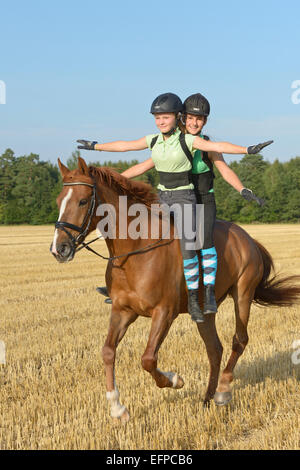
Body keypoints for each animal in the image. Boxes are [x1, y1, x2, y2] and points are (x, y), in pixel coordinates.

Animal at [51, 158, 300, 422]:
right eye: (58, 201)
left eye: (82, 201)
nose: (59, 248)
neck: (135, 250)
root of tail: (248, 239)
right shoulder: (123, 310)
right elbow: (108, 351)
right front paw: (118, 408)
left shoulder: (164, 312)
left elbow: (148, 359)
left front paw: (175, 380)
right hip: (204, 311)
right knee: (215, 349)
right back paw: (207, 398)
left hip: (243, 294)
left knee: (239, 340)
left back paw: (222, 391)